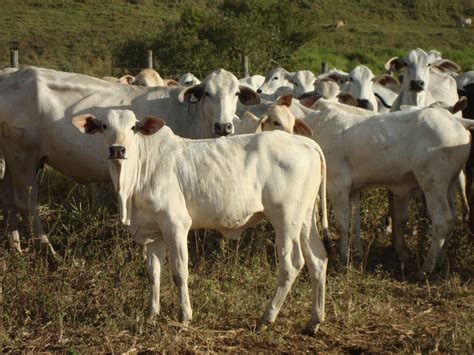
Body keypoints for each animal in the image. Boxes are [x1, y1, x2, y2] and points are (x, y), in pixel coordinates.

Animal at [0, 67, 260, 254]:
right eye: (207, 93)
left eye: (237, 93)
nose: (224, 126)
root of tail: (11, 73)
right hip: (24, 158)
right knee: (27, 203)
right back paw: (48, 251)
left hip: (12, 160)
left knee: (9, 199)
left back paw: (16, 247)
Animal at [74, 110, 332, 336]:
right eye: (104, 126)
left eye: (132, 127)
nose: (117, 149)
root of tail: (307, 143)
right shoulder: (155, 232)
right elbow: (153, 273)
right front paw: (151, 314)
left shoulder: (176, 225)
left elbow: (179, 273)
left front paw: (184, 317)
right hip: (305, 219)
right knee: (318, 259)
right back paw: (314, 321)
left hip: (286, 219)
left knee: (292, 265)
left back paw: (266, 318)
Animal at [262, 98, 472, 278]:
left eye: (276, 121)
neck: (317, 125)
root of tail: (458, 124)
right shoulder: (354, 190)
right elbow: (355, 223)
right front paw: (357, 256)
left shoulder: (338, 186)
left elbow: (343, 224)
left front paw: (343, 262)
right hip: (449, 184)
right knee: (452, 217)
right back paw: (440, 262)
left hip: (433, 184)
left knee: (442, 219)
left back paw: (426, 268)